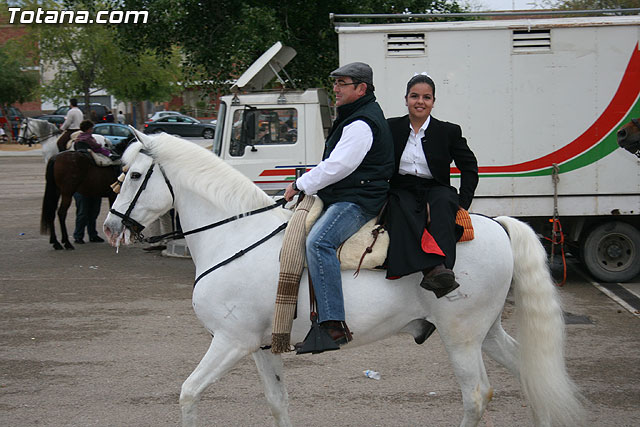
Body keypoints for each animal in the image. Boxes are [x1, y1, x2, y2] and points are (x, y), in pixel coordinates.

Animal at [104, 131, 584, 427]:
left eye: (133, 175)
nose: (110, 228)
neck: (235, 236)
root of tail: (495, 224)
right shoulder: (260, 347)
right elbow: (278, 404)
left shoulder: (230, 342)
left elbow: (188, 393)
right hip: (486, 332)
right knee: (529, 371)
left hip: (461, 337)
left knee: (477, 395)